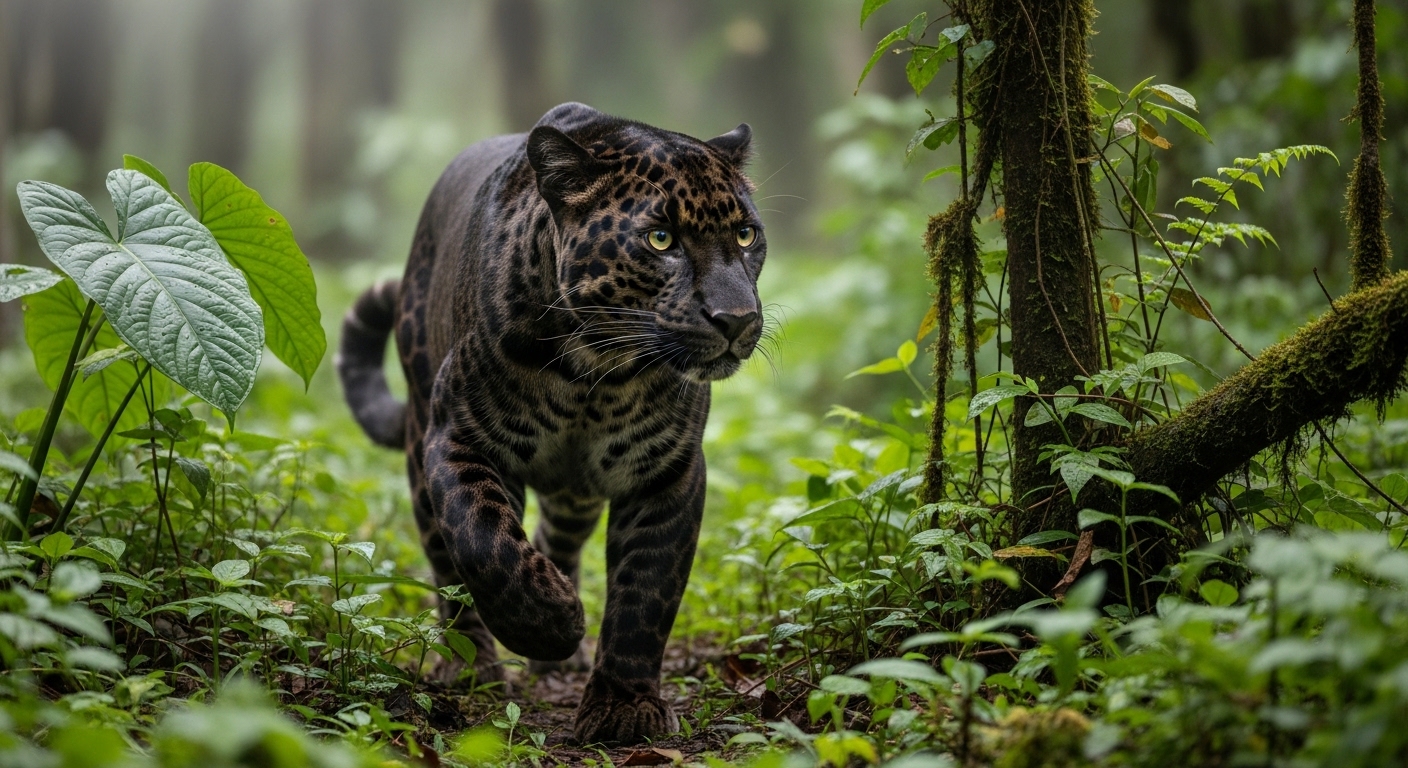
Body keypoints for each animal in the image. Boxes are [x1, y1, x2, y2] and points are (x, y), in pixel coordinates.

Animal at [336, 102, 766, 744]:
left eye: (745, 234)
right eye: (660, 239)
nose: (737, 319)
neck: (598, 373)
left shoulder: (667, 472)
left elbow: (645, 593)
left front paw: (623, 709)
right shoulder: (459, 438)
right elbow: (485, 543)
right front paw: (554, 622)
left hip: (577, 494)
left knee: (554, 540)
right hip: (419, 442)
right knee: (449, 567)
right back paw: (475, 670)